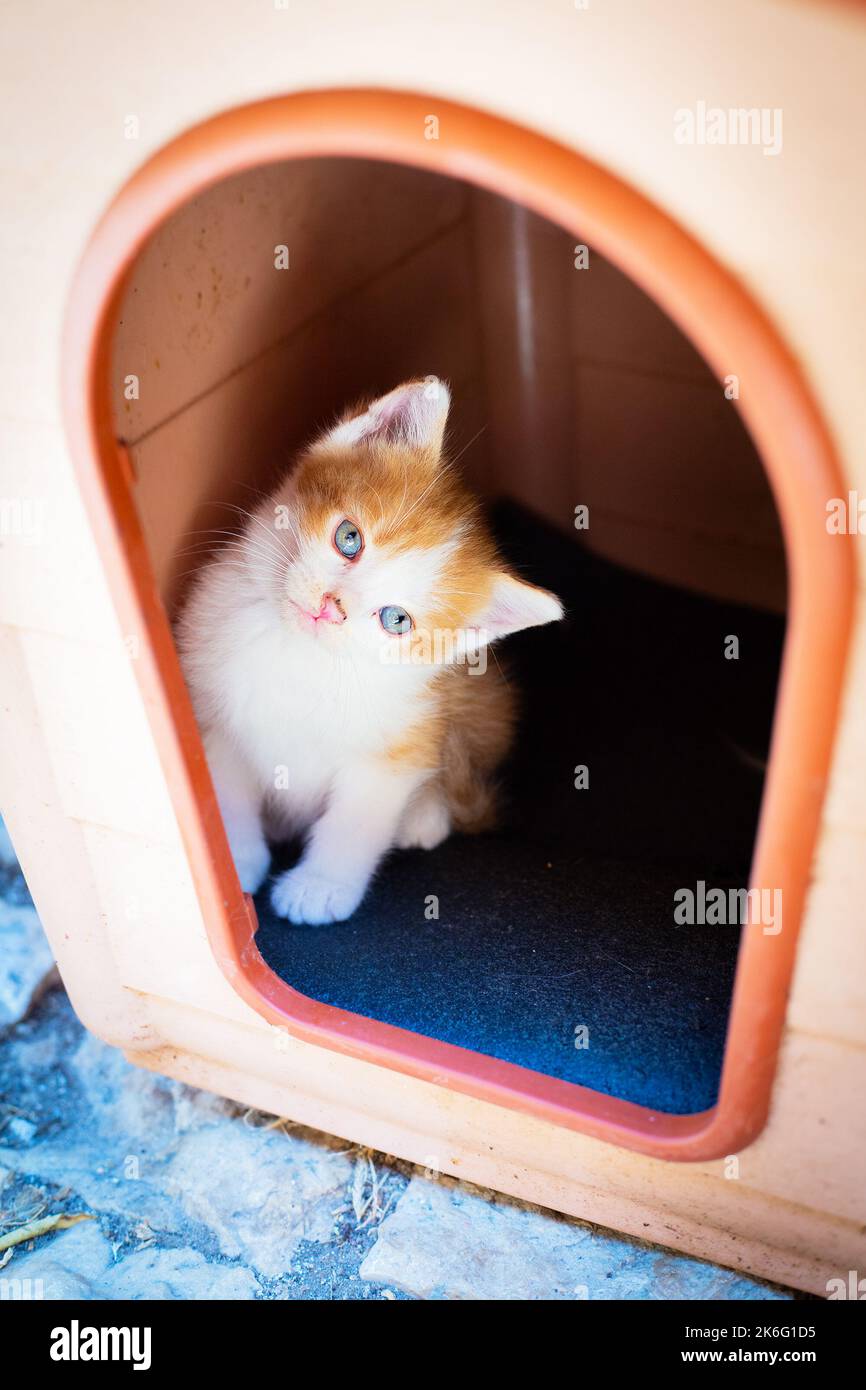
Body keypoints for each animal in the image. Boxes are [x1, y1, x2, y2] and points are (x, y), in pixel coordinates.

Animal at [179, 378, 567, 922]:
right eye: (349, 538)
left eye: (396, 619)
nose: (330, 608)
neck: (301, 656)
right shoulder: (213, 710)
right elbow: (227, 793)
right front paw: (234, 864)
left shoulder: (400, 740)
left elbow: (357, 819)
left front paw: (321, 887)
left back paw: (423, 816)